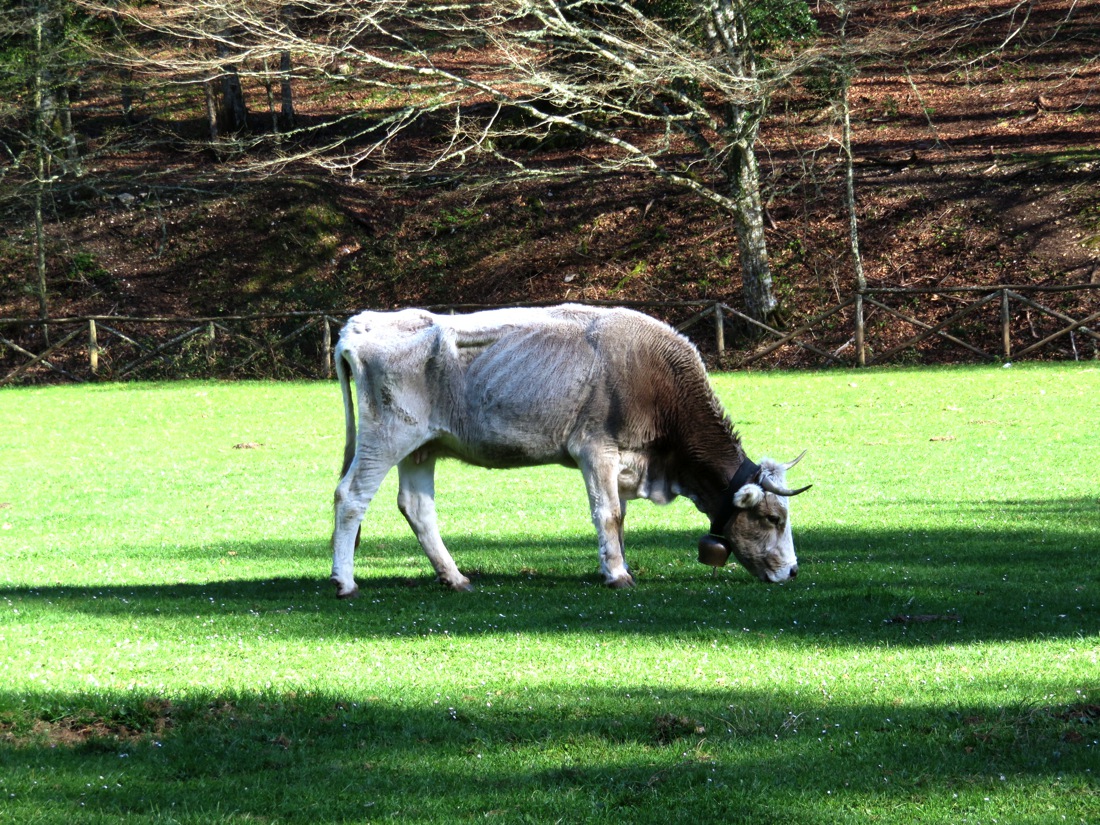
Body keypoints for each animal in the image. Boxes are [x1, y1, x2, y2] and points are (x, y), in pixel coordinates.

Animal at [325, 301, 809, 594]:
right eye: (773, 518)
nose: (793, 570)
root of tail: (361, 323)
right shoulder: (595, 451)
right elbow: (608, 513)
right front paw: (617, 574)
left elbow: (620, 516)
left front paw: (614, 563)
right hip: (387, 436)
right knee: (351, 496)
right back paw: (344, 581)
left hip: (421, 447)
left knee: (417, 507)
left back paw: (455, 577)